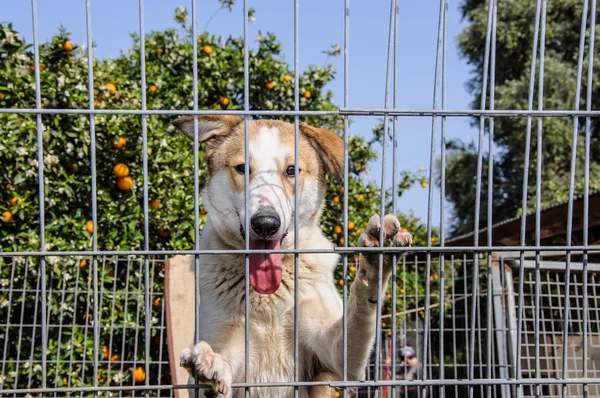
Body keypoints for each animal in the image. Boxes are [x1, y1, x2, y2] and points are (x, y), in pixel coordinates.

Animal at [171, 116, 410, 398]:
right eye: (242, 168)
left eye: (292, 170)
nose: (265, 224)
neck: (269, 302)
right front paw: (209, 368)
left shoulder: (337, 358)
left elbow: (359, 310)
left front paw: (375, 259)